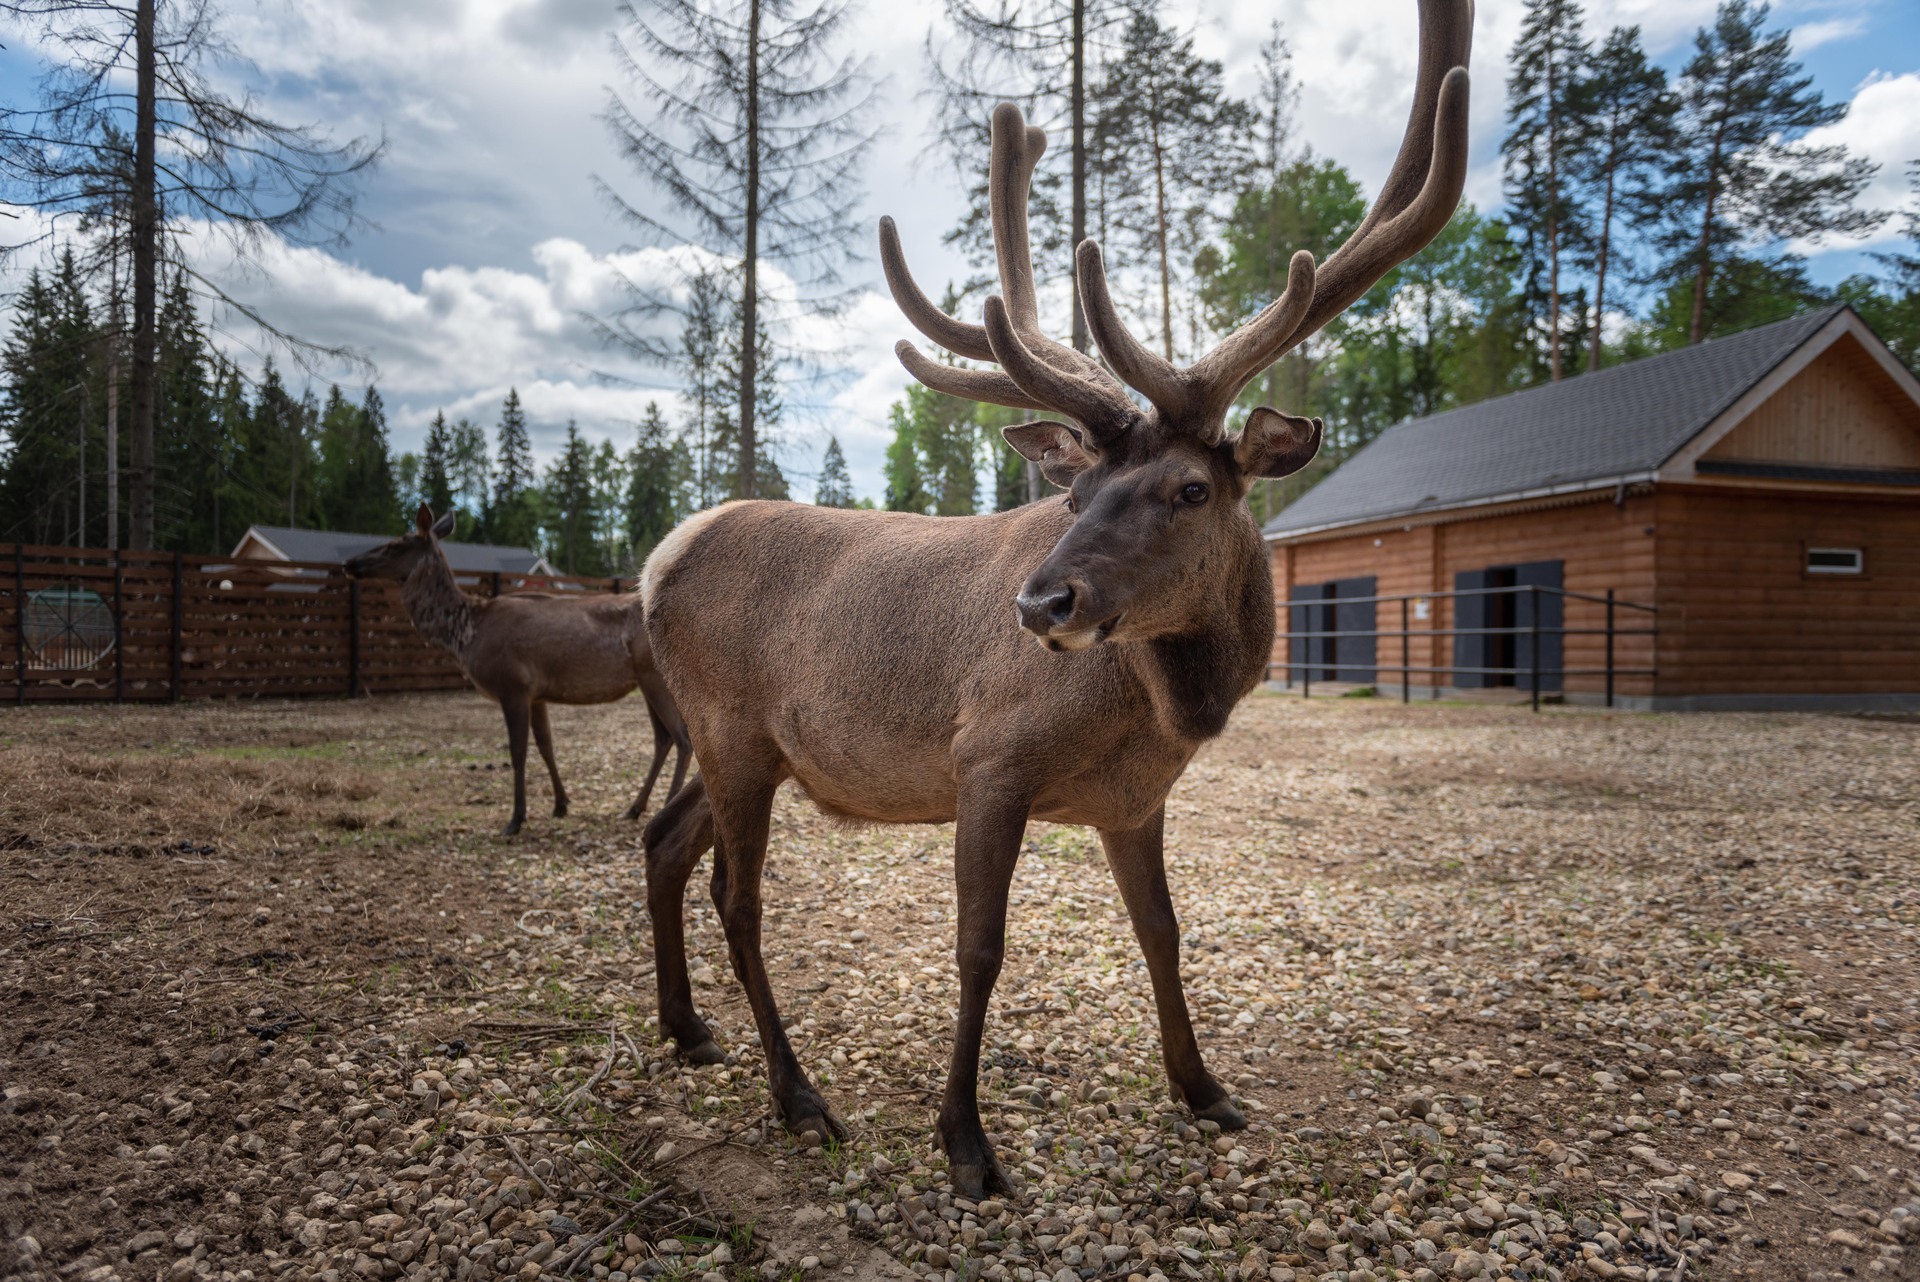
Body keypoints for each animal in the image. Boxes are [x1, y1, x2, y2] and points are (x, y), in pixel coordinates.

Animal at [349, 506, 695, 836]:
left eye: (395, 543)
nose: (351, 563)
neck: (467, 633)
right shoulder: (537, 694)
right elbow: (545, 746)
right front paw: (560, 804)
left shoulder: (512, 685)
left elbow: (517, 751)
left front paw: (515, 819)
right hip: (644, 682)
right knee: (662, 739)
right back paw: (634, 807)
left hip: (655, 678)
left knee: (681, 737)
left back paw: (662, 805)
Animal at [637, 2, 1459, 1205]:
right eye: (1075, 490)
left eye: (1191, 487)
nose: (1041, 602)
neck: (1157, 710)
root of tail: (658, 560)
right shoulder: (989, 758)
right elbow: (980, 947)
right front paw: (966, 1142)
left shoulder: (1133, 799)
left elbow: (1164, 932)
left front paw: (1205, 1089)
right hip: (734, 731)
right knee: (736, 900)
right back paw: (797, 1097)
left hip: (746, 744)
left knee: (662, 842)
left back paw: (688, 1030)